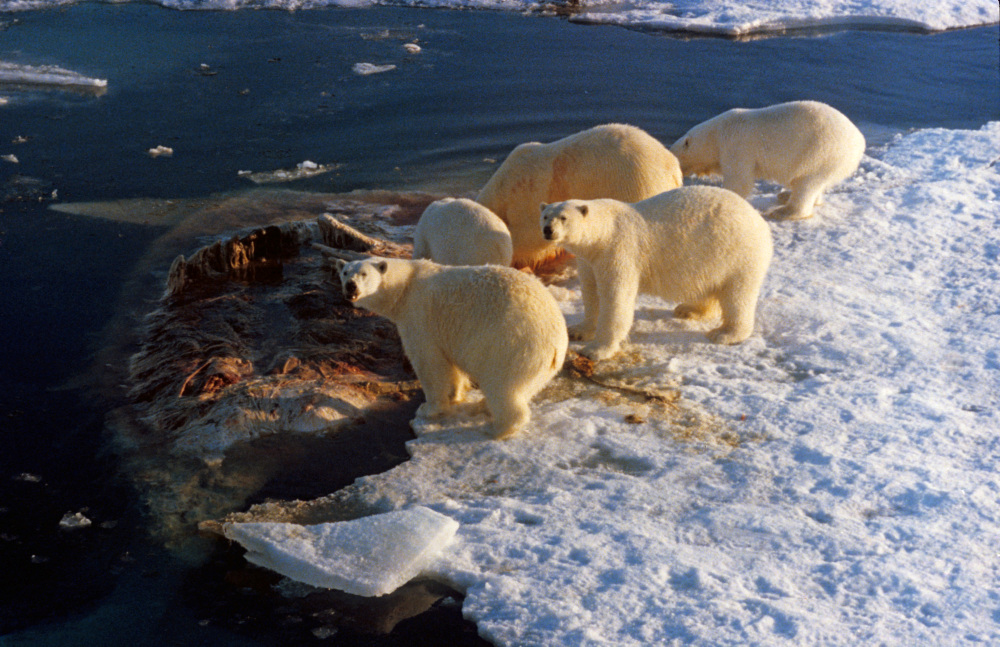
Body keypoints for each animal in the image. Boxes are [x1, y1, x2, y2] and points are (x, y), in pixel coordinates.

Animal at [336, 256, 572, 438]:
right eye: (346, 272)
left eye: (364, 273)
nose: (350, 286)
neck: (405, 287)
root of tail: (557, 343)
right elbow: (452, 366)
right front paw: (456, 396)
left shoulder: (419, 317)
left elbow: (430, 364)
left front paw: (428, 409)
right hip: (536, 364)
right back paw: (482, 406)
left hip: (512, 346)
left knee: (502, 386)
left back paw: (495, 428)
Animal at [540, 185, 772, 362]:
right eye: (545, 215)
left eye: (563, 217)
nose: (548, 230)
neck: (604, 231)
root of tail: (760, 221)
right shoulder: (589, 260)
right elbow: (590, 292)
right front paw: (578, 330)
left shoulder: (619, 250)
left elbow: (616, 298)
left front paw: (596, 350)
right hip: (713, 259)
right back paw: (688, 310)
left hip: (739, 254)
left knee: (738, 296)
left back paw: (724, 333)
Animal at [672, 101, 868, 221]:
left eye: (676, 158)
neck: (716, 133)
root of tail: (860, 142)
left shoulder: (736, 144)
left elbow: (739, 180)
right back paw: (786, 195)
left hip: (821, 153)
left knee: (808, 183)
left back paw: (783, 211)